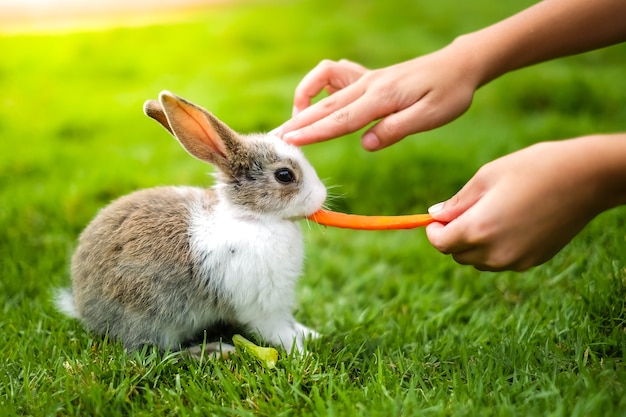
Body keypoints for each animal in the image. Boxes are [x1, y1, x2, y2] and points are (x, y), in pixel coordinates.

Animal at [56, 91, 326, 358]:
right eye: (284, 175)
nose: (322, 195)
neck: (253, 218)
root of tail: (83, 307)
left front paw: (312, 335)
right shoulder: (262, 305)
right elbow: (279, 331)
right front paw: (302, 354)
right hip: (150, 318)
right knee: (159, 353)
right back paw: (215, 350)